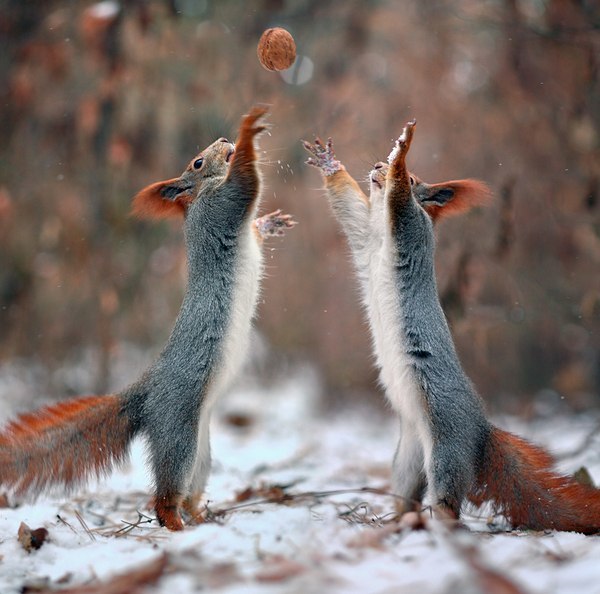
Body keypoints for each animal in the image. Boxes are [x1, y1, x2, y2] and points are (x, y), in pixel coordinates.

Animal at [0, 105, 296, 528]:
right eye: (197, 162)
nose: (224, 139)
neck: (199, 196)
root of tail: (148, 391)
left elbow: (253, 220)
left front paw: (270, 223)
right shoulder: (221, 206)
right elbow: (246, 183)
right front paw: (248, 131)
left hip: (200, 451)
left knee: (190, 490)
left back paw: (200, 519)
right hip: (178, 431)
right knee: (164, 498)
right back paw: (176, 525)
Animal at [304, 125, 600, 532]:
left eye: (416, 179)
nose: (378, 166)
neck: (380, 231)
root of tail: (480, 432)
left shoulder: (410, 226)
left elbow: (400, 200)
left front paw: (402, 152)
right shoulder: (363, 234)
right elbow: (347, 204)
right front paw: (330, 164)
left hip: (446, 445)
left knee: (448, 501)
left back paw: (437, 524)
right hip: (409, 457)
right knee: (408, 494)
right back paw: (395, 521)